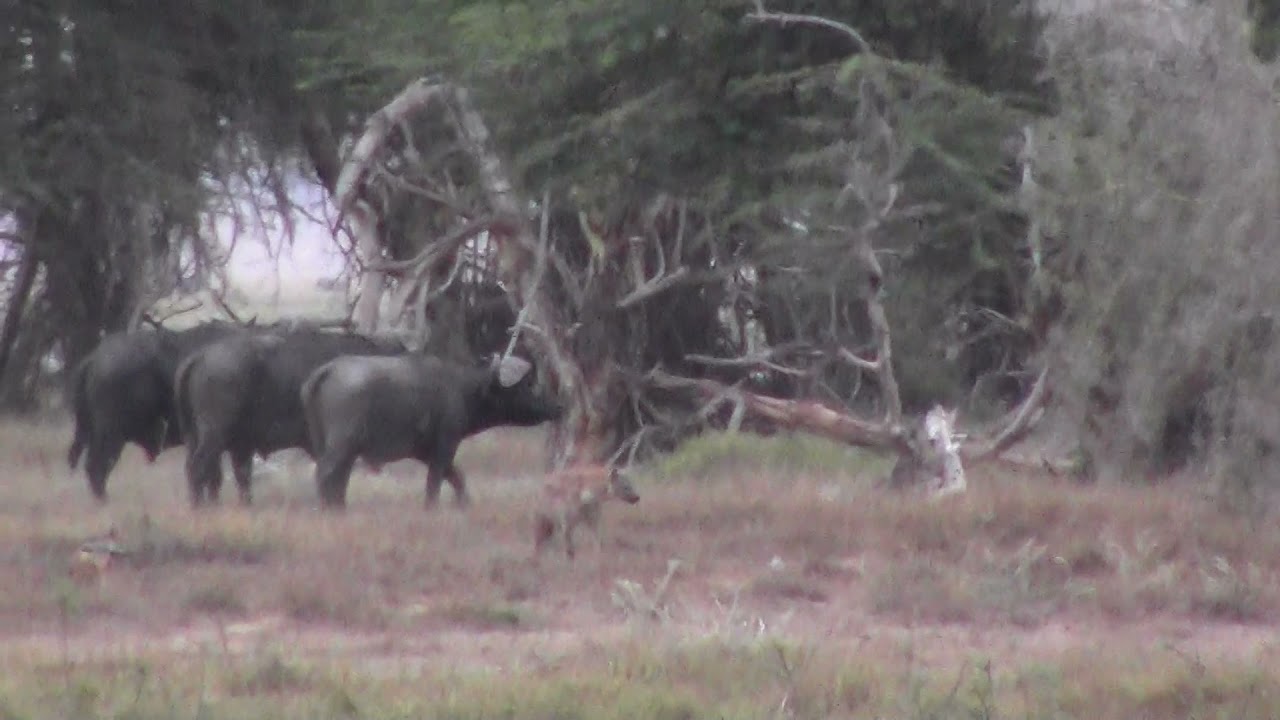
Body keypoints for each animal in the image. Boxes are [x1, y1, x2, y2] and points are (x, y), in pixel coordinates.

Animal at [173, 327, 408, 508]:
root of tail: (200, 356)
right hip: (214, 434)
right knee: (200, 468)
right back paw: (201, 508)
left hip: (204, 438)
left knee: (220, 474)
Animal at [300, 352, 563, 510]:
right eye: (528, 385)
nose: (556, 405)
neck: (464, 390)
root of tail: (329, 369)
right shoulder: (445, 445)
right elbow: (435, 482)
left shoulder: (425, 452)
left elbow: (456, 477)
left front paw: (464, 504)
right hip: (342, 444)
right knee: (326, 473)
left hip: (334, 445)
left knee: (339, 478)